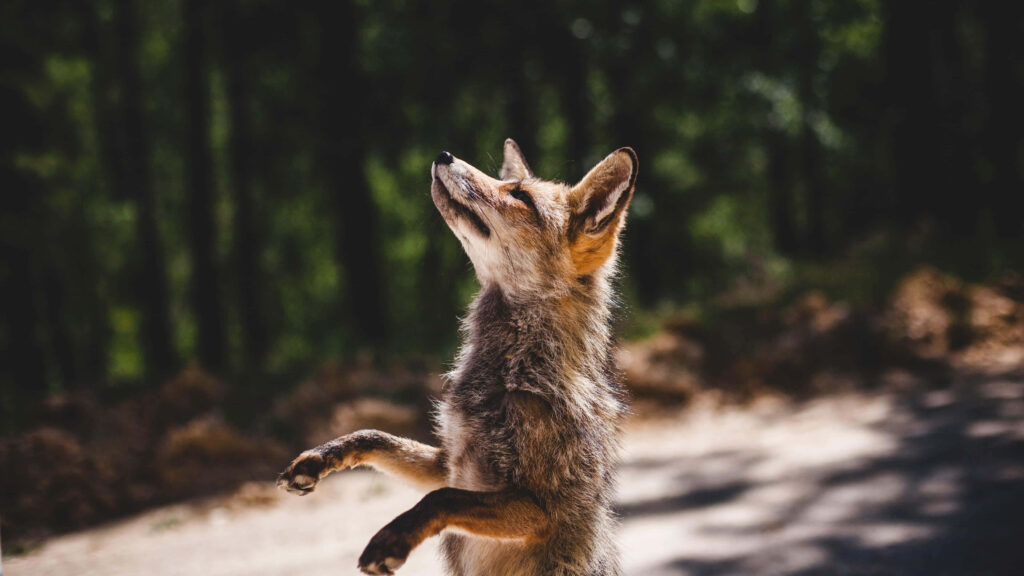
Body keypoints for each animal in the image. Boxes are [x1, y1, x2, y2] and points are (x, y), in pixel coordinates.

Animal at [278, 139, 638, 576]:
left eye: (520, 197)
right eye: (508, 184)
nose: (443, 155)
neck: (513, 374)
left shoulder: (540, 509)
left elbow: (440, 499)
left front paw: (392, 540)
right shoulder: (449, 464)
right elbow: (376, 436)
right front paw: (319, 458)